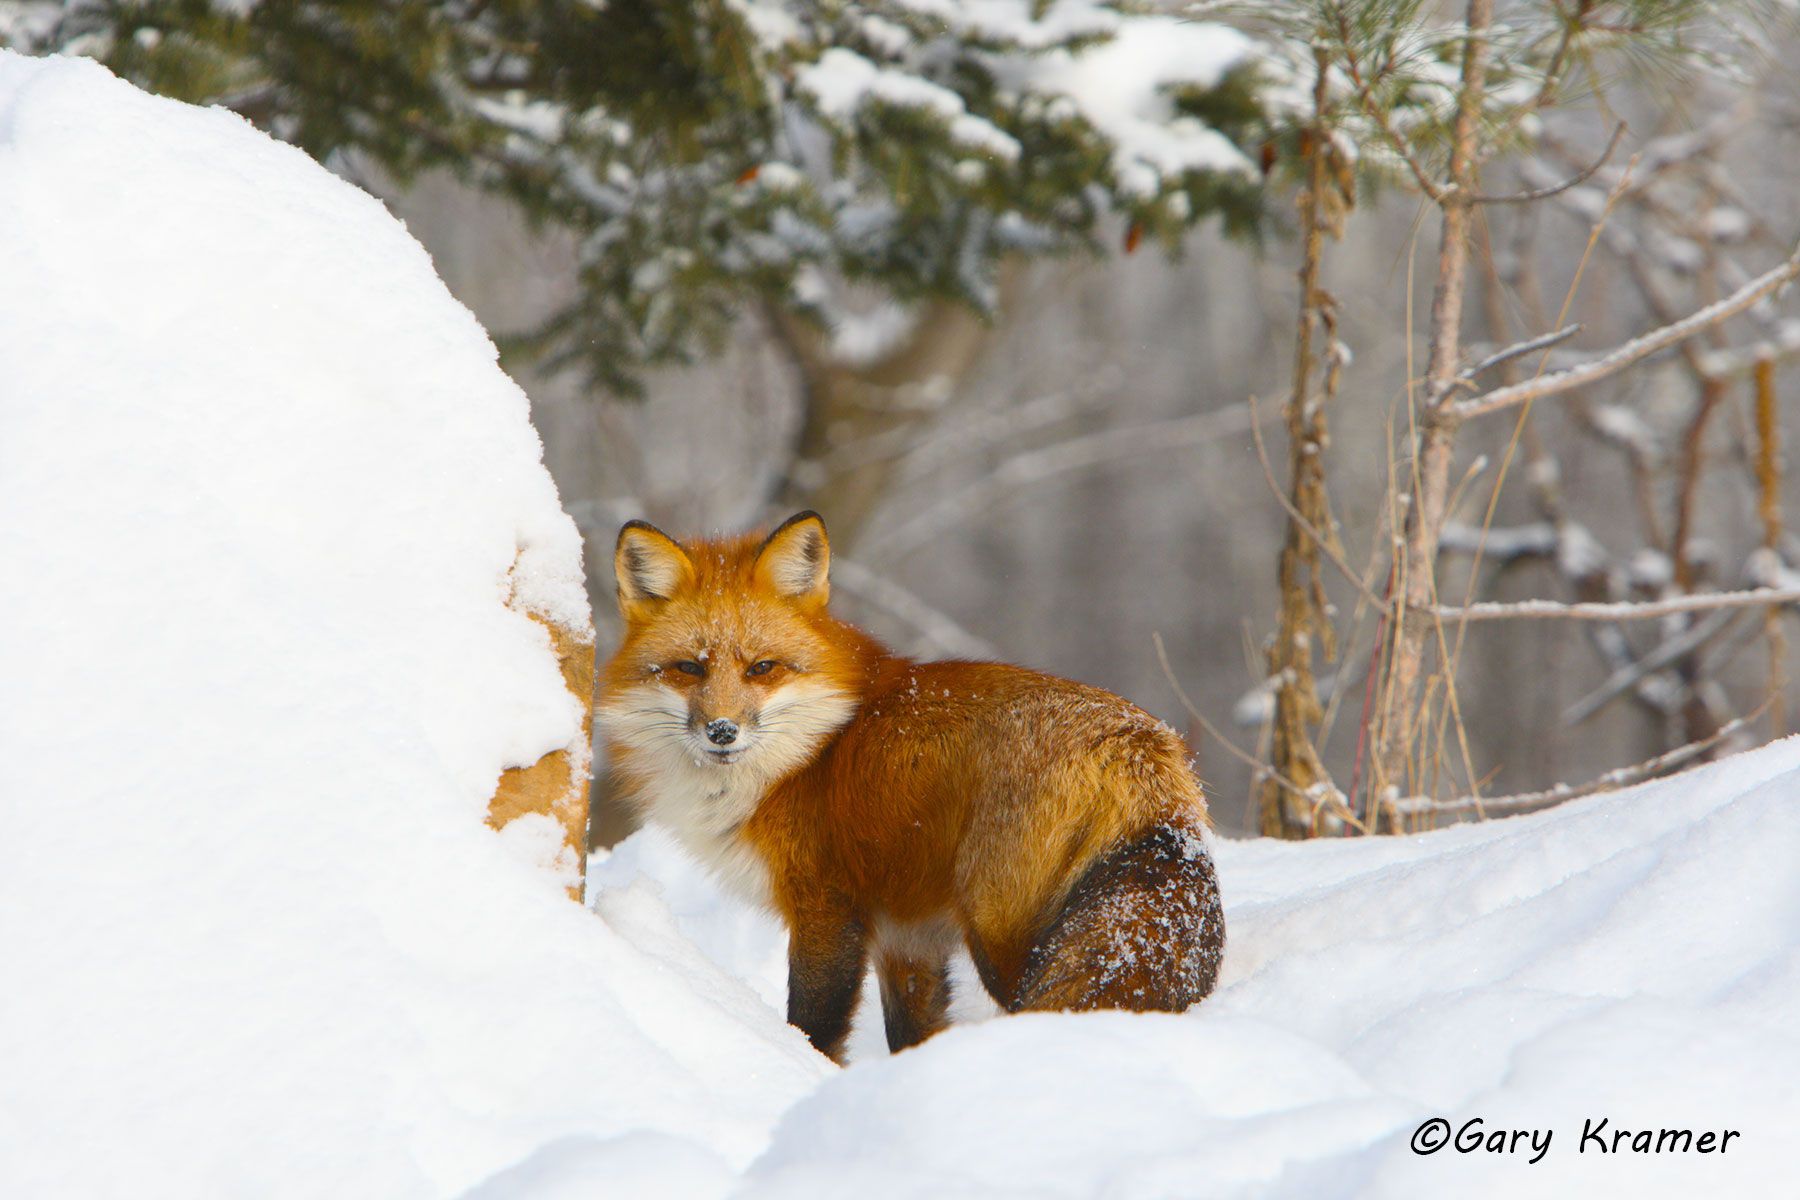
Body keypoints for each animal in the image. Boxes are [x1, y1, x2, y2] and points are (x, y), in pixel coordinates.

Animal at [598, 511, 1224, 1061]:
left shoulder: (827, 908)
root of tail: (1141, 745)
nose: (722, 731)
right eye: (689, 668)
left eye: (761, 668)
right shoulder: (909, 937)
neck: (812, 749)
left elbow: (814, 1027)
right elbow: (913, 1033)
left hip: (1004, 936)